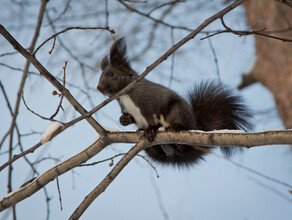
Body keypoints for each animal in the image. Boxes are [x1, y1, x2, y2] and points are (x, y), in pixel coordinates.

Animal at [97, 38, 252, 167]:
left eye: (111, 74)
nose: (99, 88)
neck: (125, 94)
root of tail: (195, 127)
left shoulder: (149, 102)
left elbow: (152, 116)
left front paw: (150, 129)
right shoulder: (126, 108)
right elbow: (130, 117)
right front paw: (124, 120)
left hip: (177, 111)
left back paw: (177, 133)